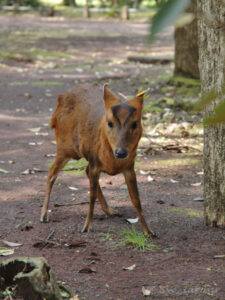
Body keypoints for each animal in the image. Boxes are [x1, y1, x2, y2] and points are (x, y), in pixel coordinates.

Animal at [40, 82, 155, 237]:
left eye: (135, 124)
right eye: (110, 123)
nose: (121, 152)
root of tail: (61, 98)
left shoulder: (130, 167)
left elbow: (136, 199)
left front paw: (148, 230)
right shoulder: (95, 161)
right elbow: (91, 196)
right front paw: (87, 226)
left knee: (85, 170)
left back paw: (110, 210)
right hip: (64, 147)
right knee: (51, 173)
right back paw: (44, 214)